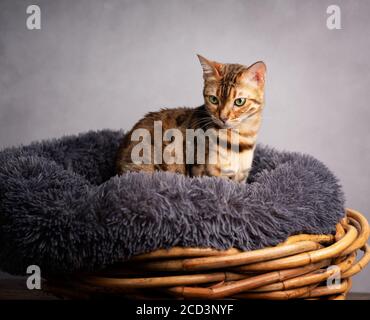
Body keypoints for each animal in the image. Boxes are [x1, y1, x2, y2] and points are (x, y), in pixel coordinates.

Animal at [115, 55, 266, 182]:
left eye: (239, 101)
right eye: (213, 99)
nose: (223, 117)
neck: (240, 141)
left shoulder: (241, 178)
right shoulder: (207, 173)